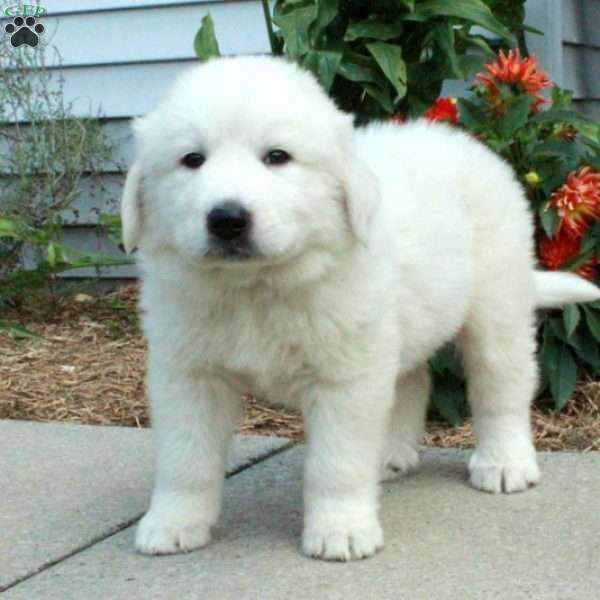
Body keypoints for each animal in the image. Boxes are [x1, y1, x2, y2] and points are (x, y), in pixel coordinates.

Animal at [122, 54, 600, 560]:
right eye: (192, 160)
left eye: (277, 157)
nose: (228, 219)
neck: (256, 288)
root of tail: (460, 142)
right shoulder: (188, 374)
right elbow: (184, 457)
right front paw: (173, 523)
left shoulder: (344, 378)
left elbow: (337, 463)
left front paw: (341, 530)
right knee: (412, 380)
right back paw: (390, 454)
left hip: (496, 306)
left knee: (501, 388)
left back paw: (505, 463)